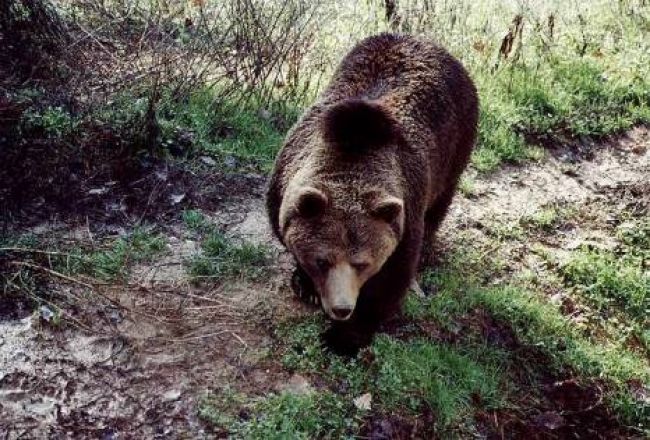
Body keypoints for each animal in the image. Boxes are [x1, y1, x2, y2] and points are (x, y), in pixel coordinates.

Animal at [264, 32, 476, 356]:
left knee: (441, 202)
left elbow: (390, 280)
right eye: (322, 261)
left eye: (362, 263)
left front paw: (342, 338)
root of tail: (426, 41)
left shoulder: (404, 212)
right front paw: (305, 284)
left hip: (455, 145)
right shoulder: (282, 187)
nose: (341, 308)